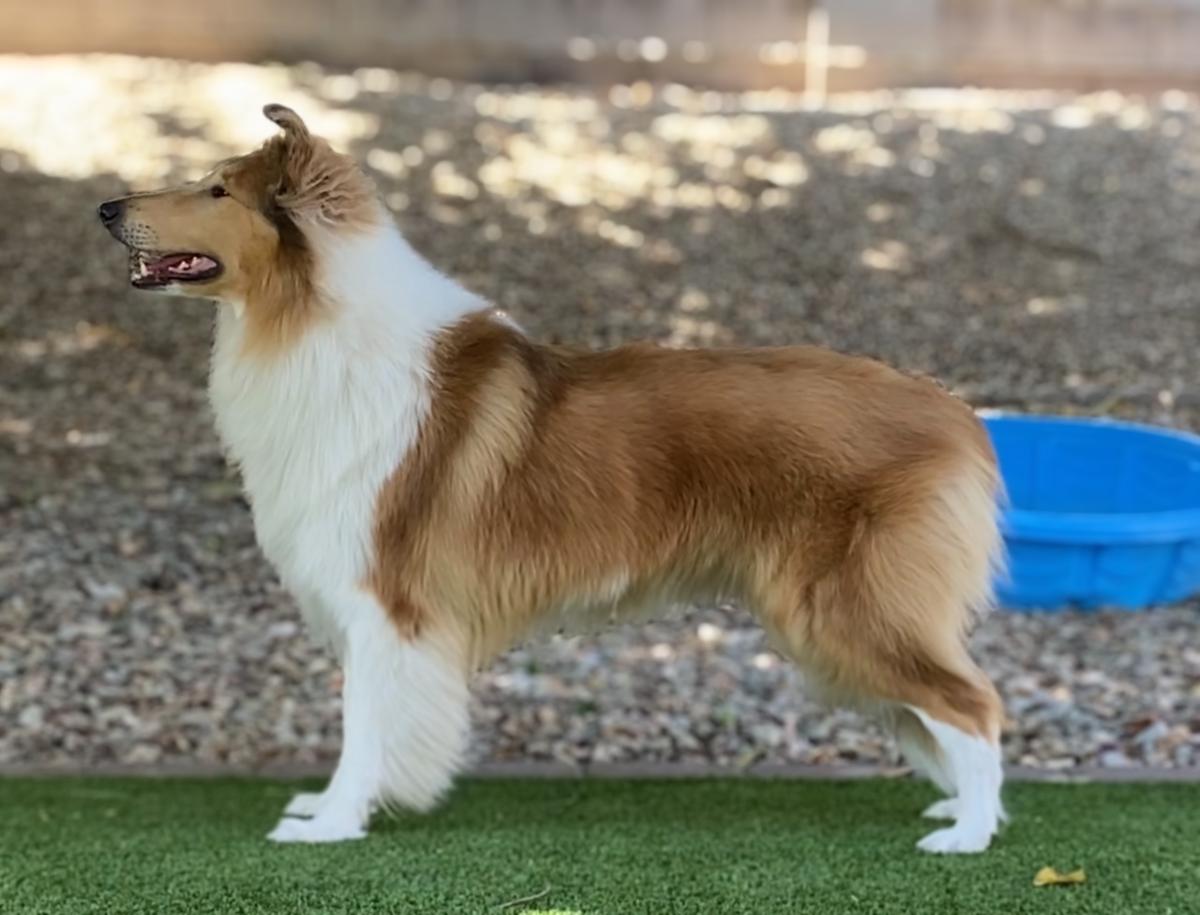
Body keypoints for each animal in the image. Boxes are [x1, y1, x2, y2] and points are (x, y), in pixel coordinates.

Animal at [98, 105, 1008, 850]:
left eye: (217, 188)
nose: (106, 209)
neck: (311, 321)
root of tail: (954, 411)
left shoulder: (383, 601)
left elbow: (362, 727)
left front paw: (331, 823)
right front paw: (339, 808)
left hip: (844, 611)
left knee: (977, 705)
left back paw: (968, 834)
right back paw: (967, 811)